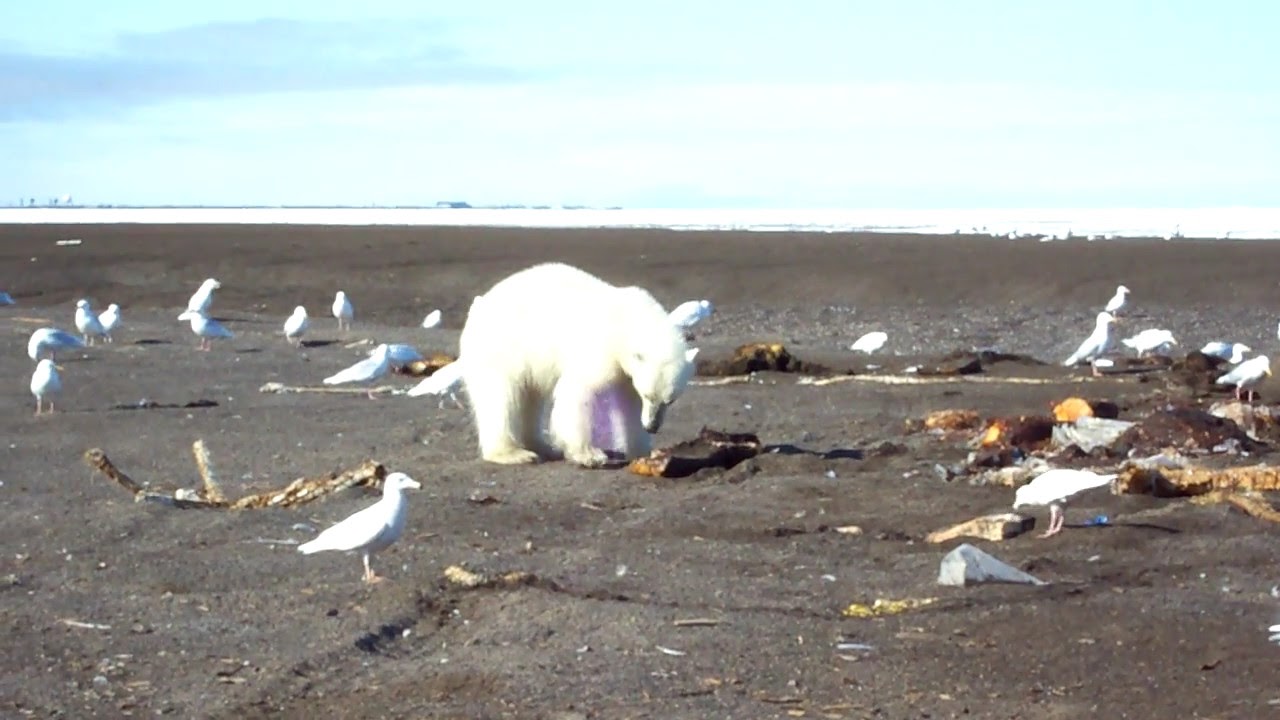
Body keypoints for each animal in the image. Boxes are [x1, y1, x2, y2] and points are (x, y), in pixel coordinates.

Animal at [458, 262, 696, 468]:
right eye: (649, 395)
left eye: (670, 400)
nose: (653, 427)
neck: (625, 320)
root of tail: (479, 304)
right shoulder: (600, 351)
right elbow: (578, 394)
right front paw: (590, 455)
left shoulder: (626, 372)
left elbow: (629, 403)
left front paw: (643, 451)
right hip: (502, 349)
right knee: (502, 397)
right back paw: (513, 453)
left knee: (530, 399)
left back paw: (543, 447)